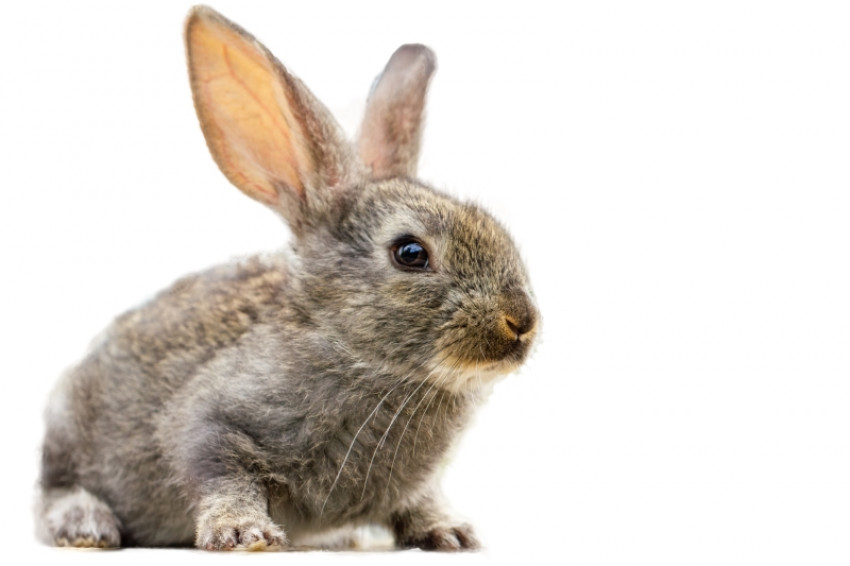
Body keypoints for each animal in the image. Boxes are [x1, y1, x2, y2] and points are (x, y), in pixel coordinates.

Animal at [37, 5, 538, 552]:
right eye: (410, 253)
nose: (522, 321)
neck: (356, 354)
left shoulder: (416, 484)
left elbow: (420, 501)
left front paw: (452, 532)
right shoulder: (211, 422)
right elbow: (221, 472)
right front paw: (244, 533)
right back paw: (86, 524)